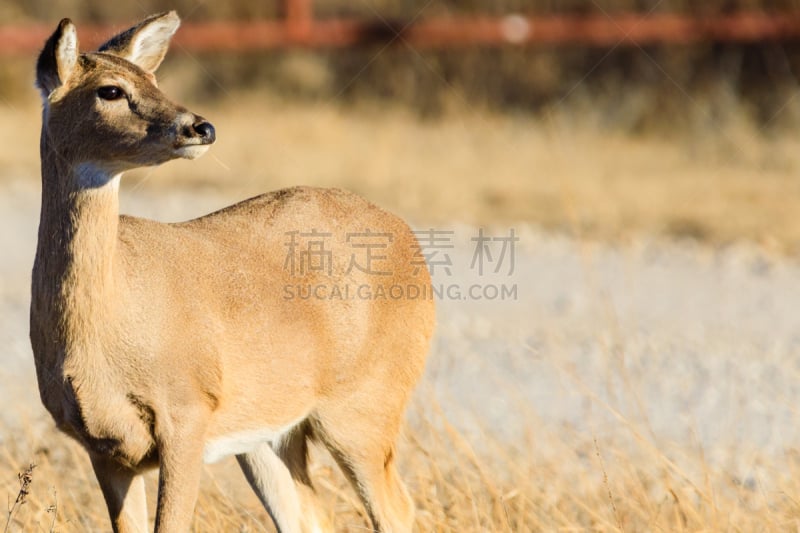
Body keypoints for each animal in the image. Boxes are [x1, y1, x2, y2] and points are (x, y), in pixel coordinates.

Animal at [31, 12, 434, 532]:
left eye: (154, 80)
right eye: (111, 90)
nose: (200, 126)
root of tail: (408, 237)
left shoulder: (188, 411)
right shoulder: (104, 449)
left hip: (366, 402)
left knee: (396, 506)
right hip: (269, 432)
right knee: (309, 513)